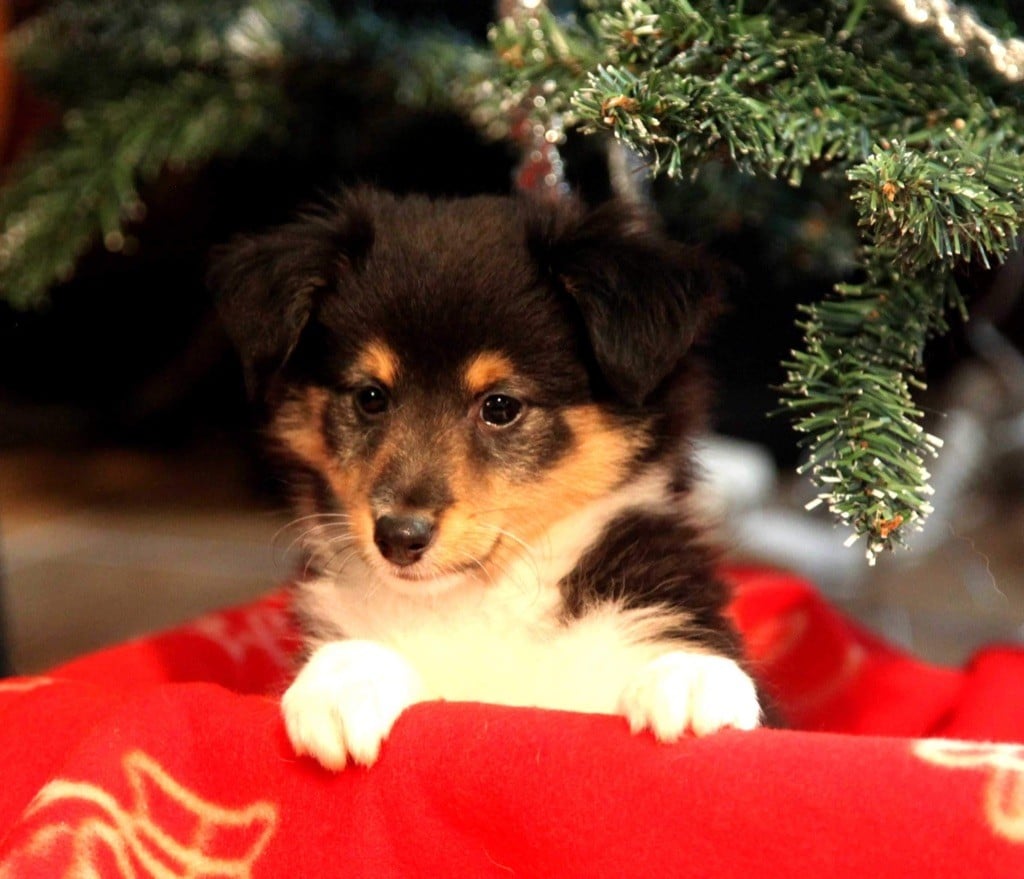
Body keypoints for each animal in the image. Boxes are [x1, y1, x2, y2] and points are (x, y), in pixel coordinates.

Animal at [207, 186, 765, 766]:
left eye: (500, 406)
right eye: (370, 397)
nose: (399, 537)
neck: (484, 598)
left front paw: (690, 677)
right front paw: (343, 681)